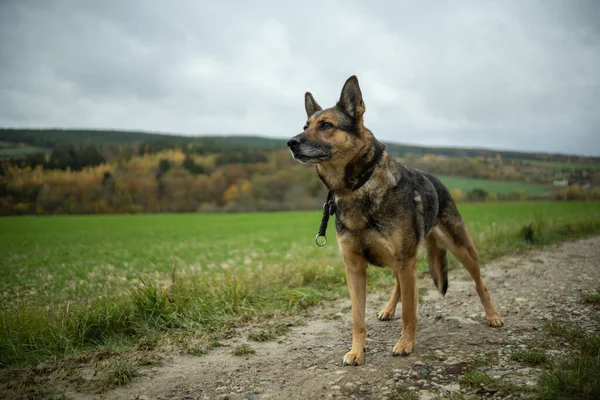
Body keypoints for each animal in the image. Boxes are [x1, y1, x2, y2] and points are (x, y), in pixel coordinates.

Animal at [288, 76, 504, 368]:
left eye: (326, 125)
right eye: (305, 126)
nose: (291, 142)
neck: (358, 186)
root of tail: (439, 182)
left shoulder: (404, 261)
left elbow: (410, 311)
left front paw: (405, 344)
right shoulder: (354, 267)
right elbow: (357, 317)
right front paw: (357, 351)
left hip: (462, 250)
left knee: (480, 284)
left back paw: (493, 316)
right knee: (399, 285)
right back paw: (389, 309)